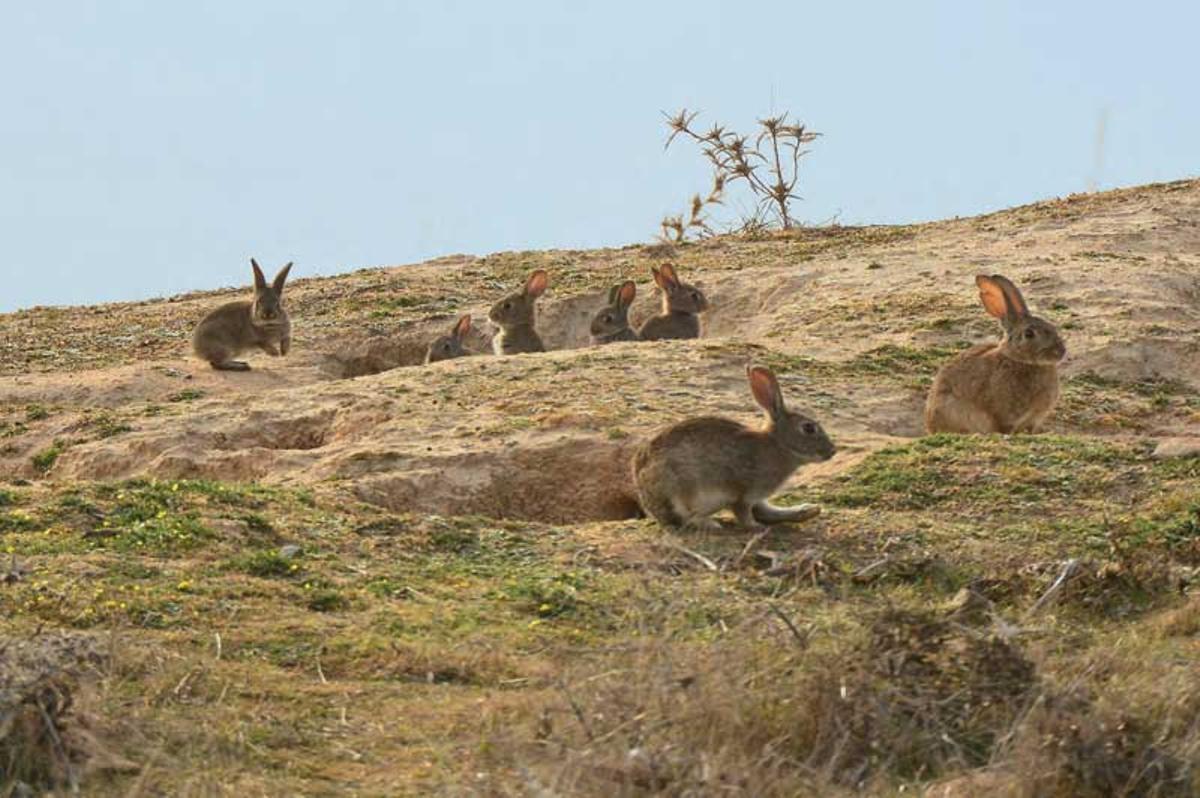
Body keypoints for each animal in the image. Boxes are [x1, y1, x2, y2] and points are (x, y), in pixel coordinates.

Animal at [628, 367, 835, 535]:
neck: (778, 445)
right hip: (675, 489)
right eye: (808, 428)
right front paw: (755, 527)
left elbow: (766, 511)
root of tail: (643, 490)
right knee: (683, 518)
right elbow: (743, 512)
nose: (832, 451)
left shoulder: (757, 497)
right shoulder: (743, 492)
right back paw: (710, 524)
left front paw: (807, 510)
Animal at [921, 273, 1065, 436]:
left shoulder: (1034, 419)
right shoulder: (1005, 417)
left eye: (1053, 327)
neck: (1019, 359)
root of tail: (930, 426)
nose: (1061, 352)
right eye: (1028, 334)